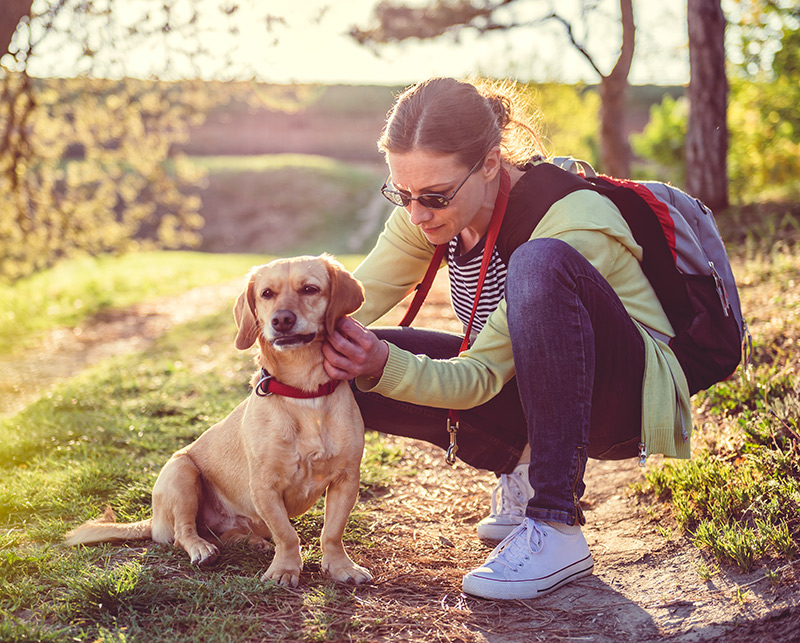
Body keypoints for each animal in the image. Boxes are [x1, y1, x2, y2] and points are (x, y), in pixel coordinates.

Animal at [66, 256, 372, 588]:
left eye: (310, 289)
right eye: (267, 294)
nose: (281, 320)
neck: (304, 394)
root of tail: (154, 520)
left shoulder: (346, 479)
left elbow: (332, 532)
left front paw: (341, 567)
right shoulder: (265, 487)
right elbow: (287, 535)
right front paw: (285, 569)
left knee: (230, 535)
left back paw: (252, 542)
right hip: (182, 472)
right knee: (183, 533)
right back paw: (202, 549)